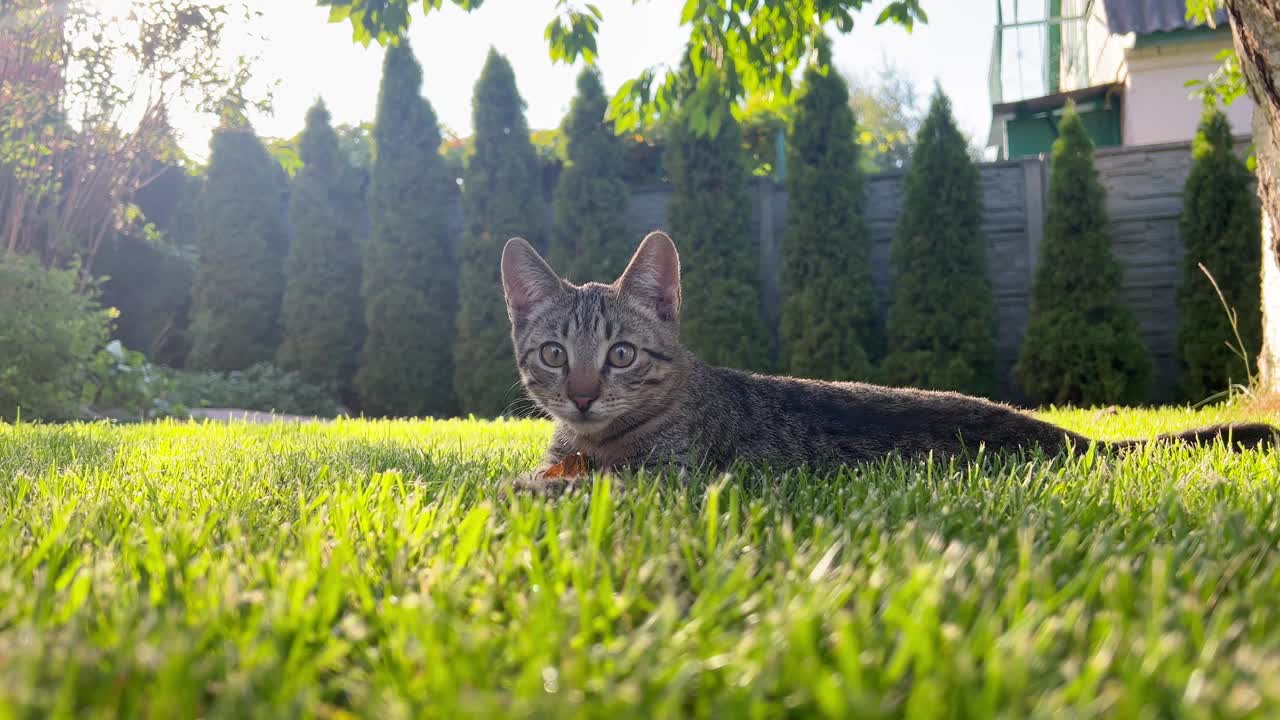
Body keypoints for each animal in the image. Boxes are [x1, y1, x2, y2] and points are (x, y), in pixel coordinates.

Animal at [501, 229, 1280, 486]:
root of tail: (1074, 439)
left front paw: (524, 490)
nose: (581, 394)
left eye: (622, 354)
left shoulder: (670, 481)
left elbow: (577, 484)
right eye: (554, 353)